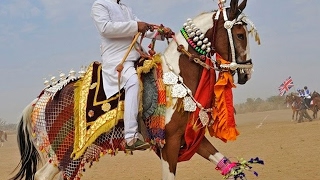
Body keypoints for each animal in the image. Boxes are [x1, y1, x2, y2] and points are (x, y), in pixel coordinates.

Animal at [10, 0, 262, 179]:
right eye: (240, 35)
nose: (247, 73)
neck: (176, 79)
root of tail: (39, 100)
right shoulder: (169, 144)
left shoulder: (191, 140)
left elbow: (229, 167)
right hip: (62, 154)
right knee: (42, 176)